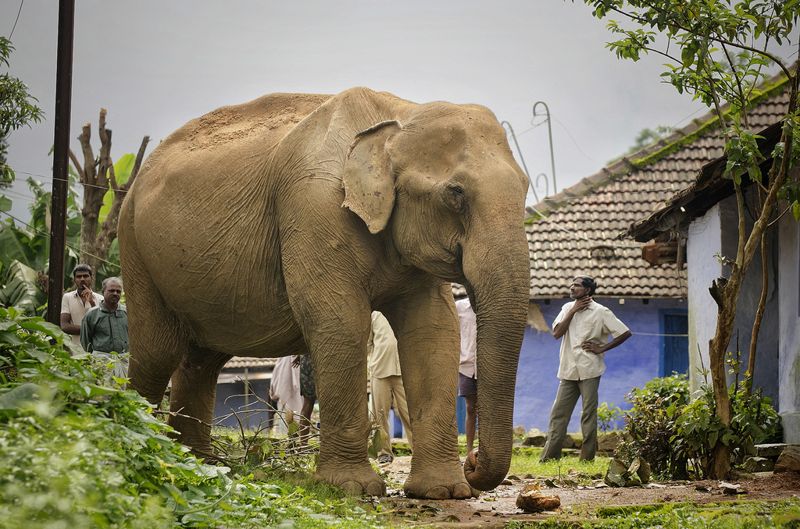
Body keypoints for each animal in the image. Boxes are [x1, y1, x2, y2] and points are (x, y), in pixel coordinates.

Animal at [118, 87, 530, 499]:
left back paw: (202, 462)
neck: (400, 113)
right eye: (455, 193)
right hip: (134, 246)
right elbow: (341, 322)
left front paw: (444, 492)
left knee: (201, 360)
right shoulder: (314, 207)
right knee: (158, 352)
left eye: (525, 188)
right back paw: (148, 444)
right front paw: (353, 488)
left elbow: (433, 331)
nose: (472, 464)